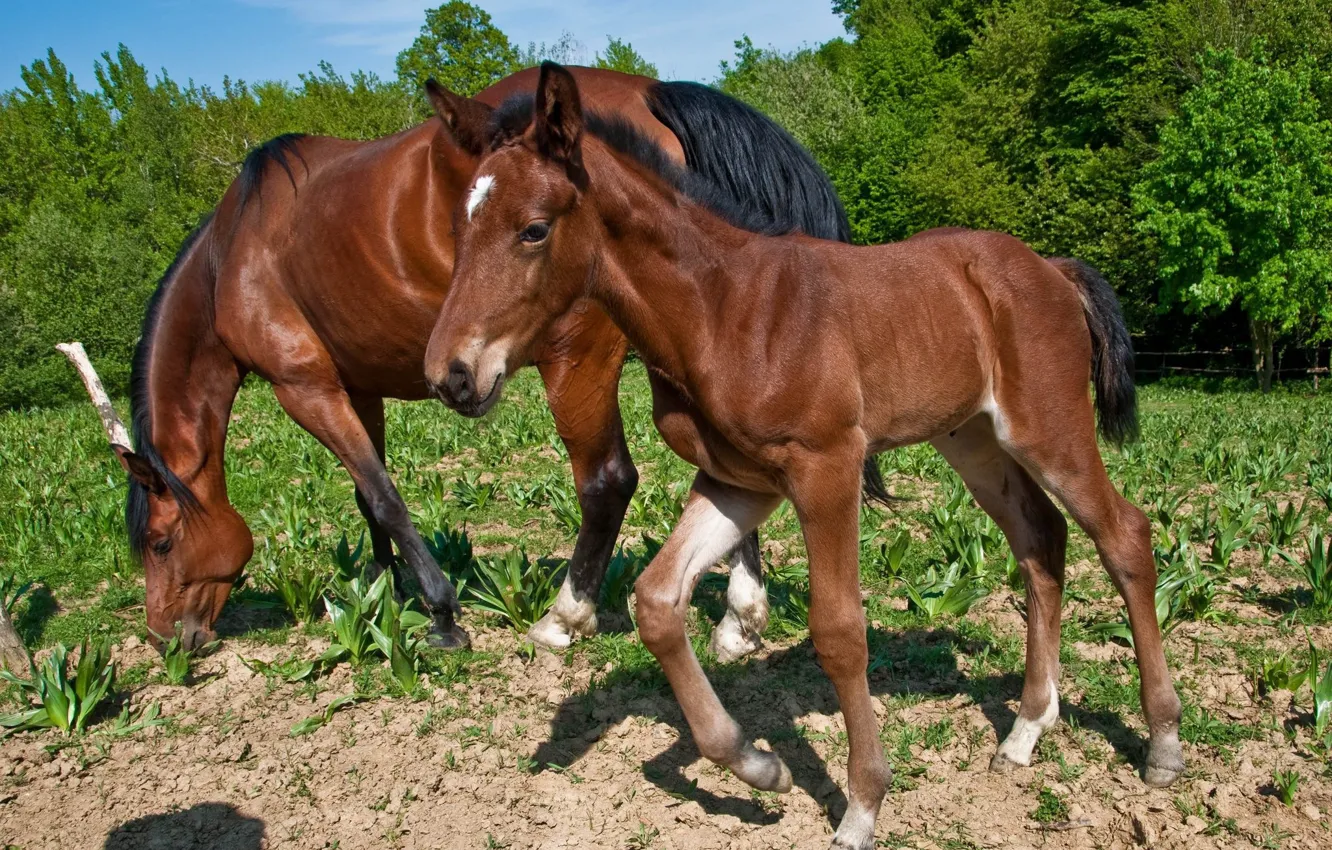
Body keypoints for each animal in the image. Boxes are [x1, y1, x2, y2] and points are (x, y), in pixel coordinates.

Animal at [100, 65, 854, 652]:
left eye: (161, 543)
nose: (164, 638)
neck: (231, 255)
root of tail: (648, 91)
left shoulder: (303, 385)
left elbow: (385, 496)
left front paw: (439, 613)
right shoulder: (356, 386)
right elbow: (366, 497)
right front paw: (381, 593)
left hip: (578, 359)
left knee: (606, 480)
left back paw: (569, 614)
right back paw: (739, 616)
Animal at [423, 63, 1185, 849]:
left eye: (534, 229)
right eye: (459, 226)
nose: (451, 374)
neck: (725, 308)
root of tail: (1052, 268)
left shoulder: (827, 467)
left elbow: (839, 630)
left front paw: (862, 806)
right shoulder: (737, 481)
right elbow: (658, 602)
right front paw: (760, 767)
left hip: (1049, 430)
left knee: (1124, 534)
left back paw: (1162, 742)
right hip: (973, 438)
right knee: (1042, 540)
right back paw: (1027, 730)